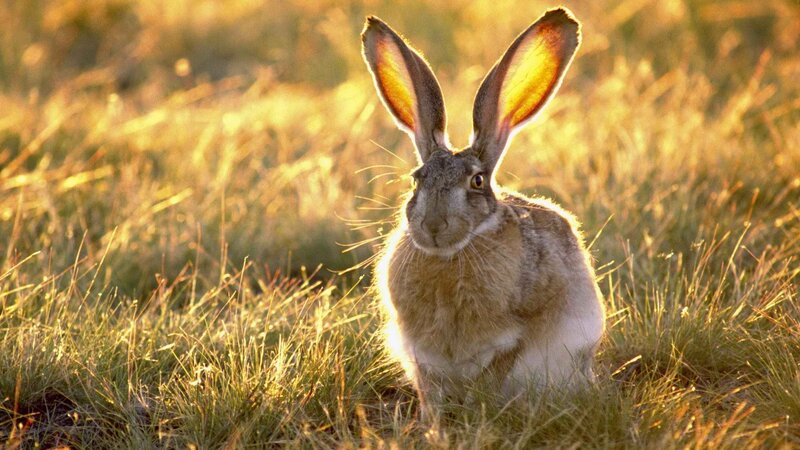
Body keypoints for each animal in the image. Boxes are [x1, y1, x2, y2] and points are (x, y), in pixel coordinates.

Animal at [361, 7, 605, 414]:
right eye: (416, 181)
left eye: (477, 181)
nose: (433, 226)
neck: (451, 256)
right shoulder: (419, 351)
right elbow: (429, 387)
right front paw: (432, 421)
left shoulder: (517, 336)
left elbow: (496, 373)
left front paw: (480, 412)